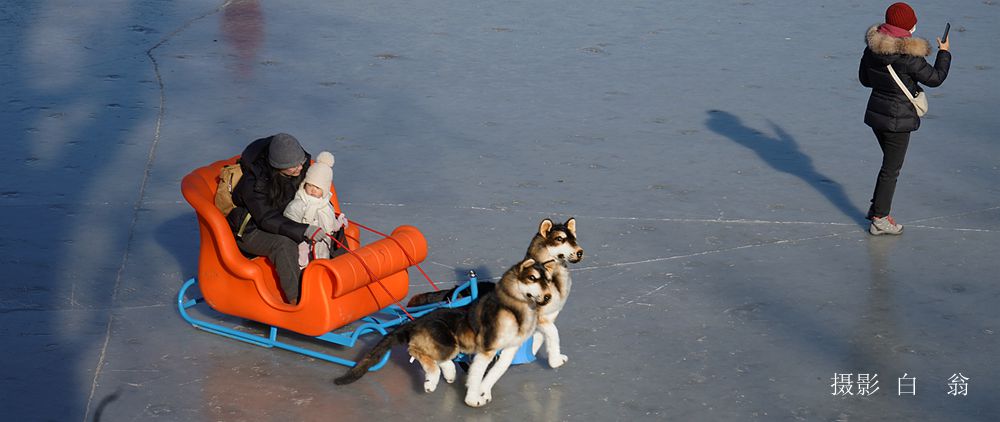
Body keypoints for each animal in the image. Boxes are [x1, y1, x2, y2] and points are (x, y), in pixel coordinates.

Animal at [334, 258, 556, 406]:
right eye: (533, 278)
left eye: (547, 280)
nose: (547, 297)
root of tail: (417, 321)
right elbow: (480, 374)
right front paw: (476, 395)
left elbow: (490, 372)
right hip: (446, 341)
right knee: (416, 350)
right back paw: (433, 379)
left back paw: (446, 373)